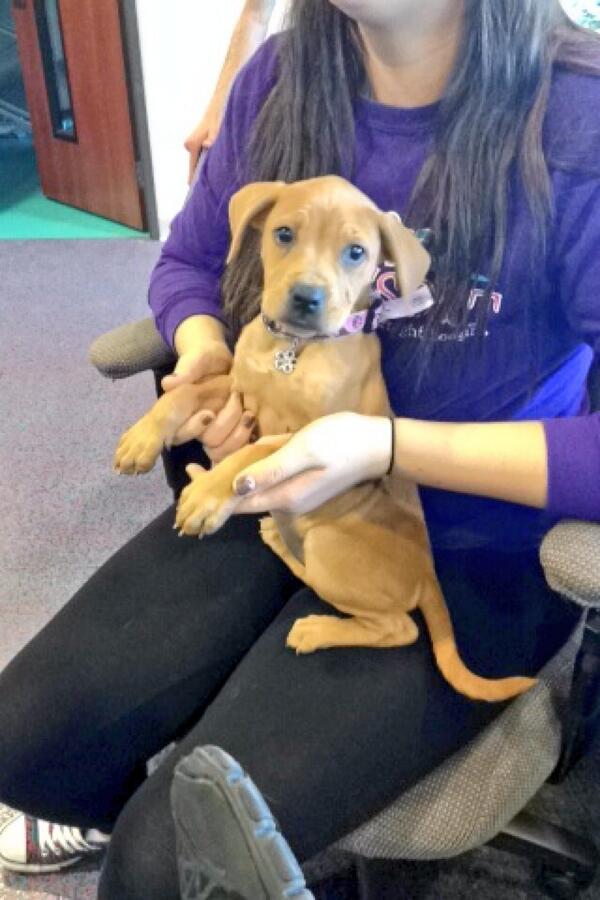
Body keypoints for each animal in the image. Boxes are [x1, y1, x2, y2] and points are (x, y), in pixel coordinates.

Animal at [116, 174, 536, 704]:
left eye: (356, 252)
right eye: (284, 234)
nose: (306, 299)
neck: (293, 350)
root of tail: (428, 575)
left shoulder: (310, 433)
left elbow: (252, 452)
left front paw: (207, 494)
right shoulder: (236, 389)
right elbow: (184, 393)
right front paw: (141, 439)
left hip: (329, 545)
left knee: (399, 628)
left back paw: (316, 625)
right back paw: (279, 539)